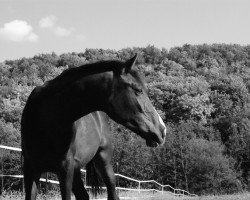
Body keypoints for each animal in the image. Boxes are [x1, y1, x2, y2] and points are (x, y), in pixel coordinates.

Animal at [21, 55, 166, 200]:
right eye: (138, 90)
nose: (162, 130)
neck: (46, 118)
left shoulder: (65, 169)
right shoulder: (30, 170)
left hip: (103, 161)